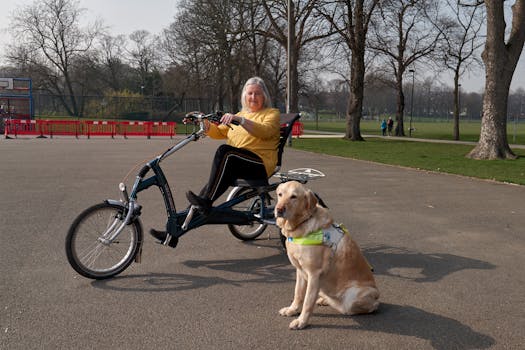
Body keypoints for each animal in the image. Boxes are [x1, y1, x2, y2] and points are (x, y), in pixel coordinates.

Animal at [274, 182, 376, 330]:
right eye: (280, 194)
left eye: (294, 196)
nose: (279, 209)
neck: (301, 225)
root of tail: (377, 296)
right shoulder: (300, 271)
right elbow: (298, 293)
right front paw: (292, 310)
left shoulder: (314, 274)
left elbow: (307, 302)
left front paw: (301, 321)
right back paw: (325, 300)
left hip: (354, 295)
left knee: (349, 308)